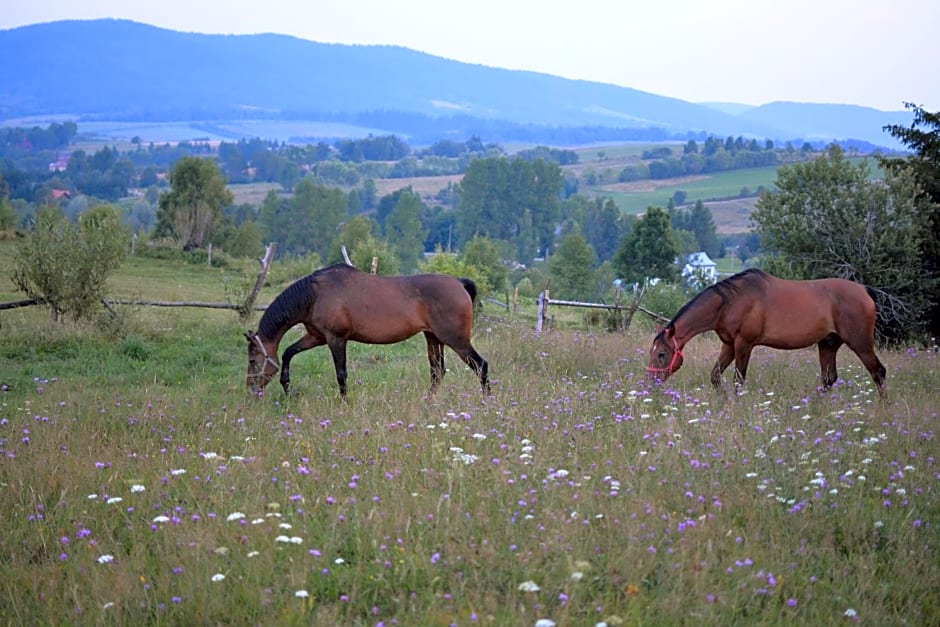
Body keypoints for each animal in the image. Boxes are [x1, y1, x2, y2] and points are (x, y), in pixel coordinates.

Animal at [242, 264, 492, 398]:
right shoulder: (316, 337)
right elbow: (287, 353)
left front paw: (344, 403)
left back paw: (487, 402)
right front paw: (286, 384)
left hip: (455, 340)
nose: (250, 390)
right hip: (433, 338)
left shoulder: (335, 339)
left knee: (480, 365)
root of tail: (459, 284)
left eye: (253, 361)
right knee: (437, 372)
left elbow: (341, 374)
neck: (313, 295)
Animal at [648, 268, 888, 398]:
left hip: (860, 343)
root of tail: (865, 291)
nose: (651, 384)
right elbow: (715, 376)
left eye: (661, 354)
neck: (730, 302)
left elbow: (738, 380)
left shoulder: (744, 344)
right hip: (828, 344)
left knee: (878, 372)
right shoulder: (729, 344)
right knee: (829, 379)